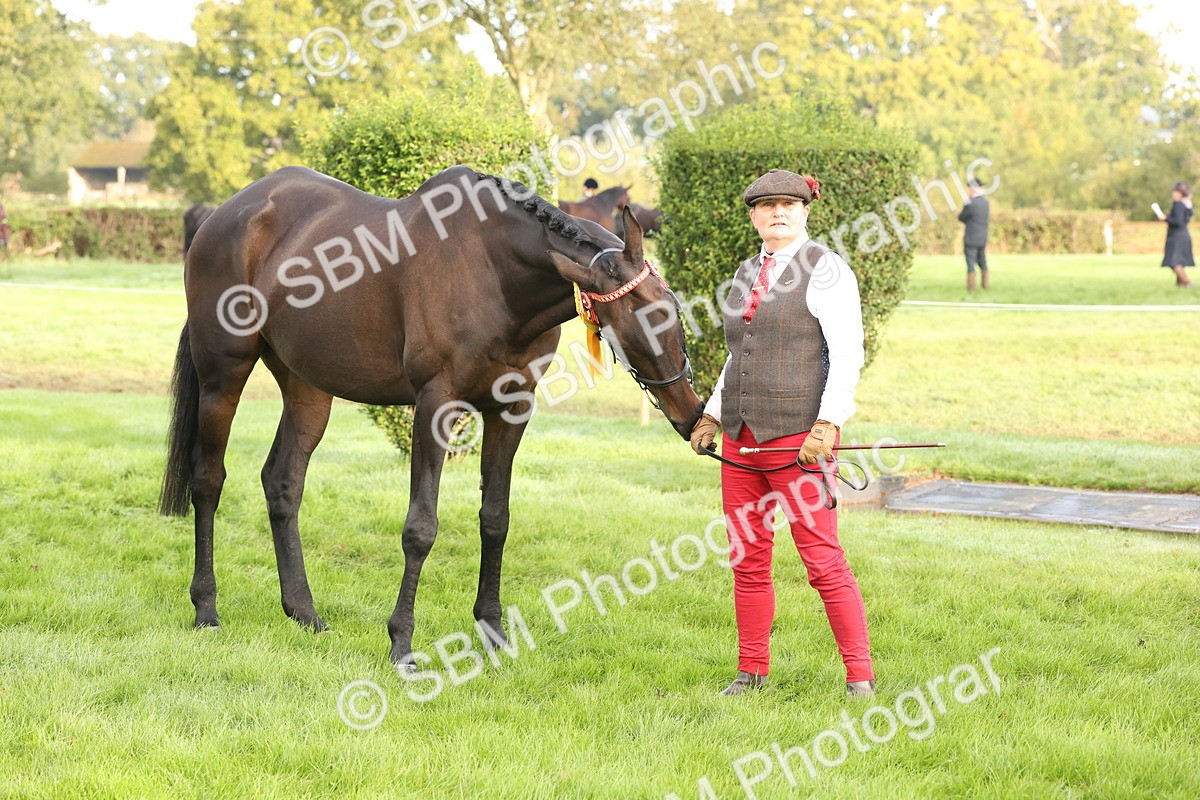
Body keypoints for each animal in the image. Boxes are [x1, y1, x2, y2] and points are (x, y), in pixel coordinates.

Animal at [159, 165, 703, 665]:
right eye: (635, 325)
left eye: (673, 308)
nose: (690, 411)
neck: (494, 274)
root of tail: (224, 215)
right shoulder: (435, 405)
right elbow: (420, 527)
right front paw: (401, 641)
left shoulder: (513, 408)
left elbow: (495, 518)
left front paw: (494, 632)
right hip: (222, 374)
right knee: (208, 480)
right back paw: (206, 608)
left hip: (306, 386)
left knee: (283, 483)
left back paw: (305, 612)